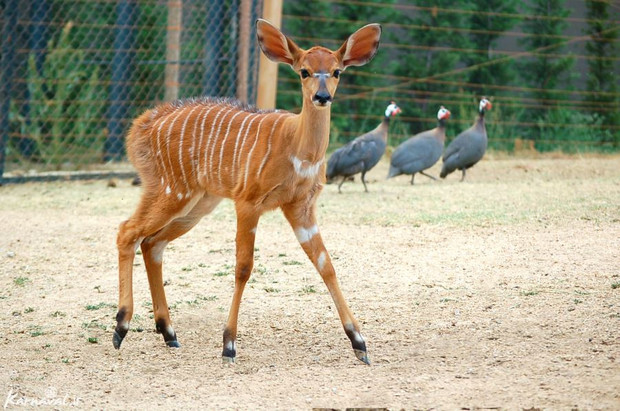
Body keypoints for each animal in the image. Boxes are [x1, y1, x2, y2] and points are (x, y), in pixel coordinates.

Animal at [113, 19, 380, 366]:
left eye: (336, 71)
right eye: (304, 71)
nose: (322, 96)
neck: (297, 147)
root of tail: (141, 126)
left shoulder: (301, 208)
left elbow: (326, 265)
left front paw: (359, 342)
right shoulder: (248, 202)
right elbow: (243, 267)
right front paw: (228, 345)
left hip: (197, 205)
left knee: (152, 243)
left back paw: (169, 332)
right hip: (171, 191)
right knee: (128, 232)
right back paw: (121, 327)